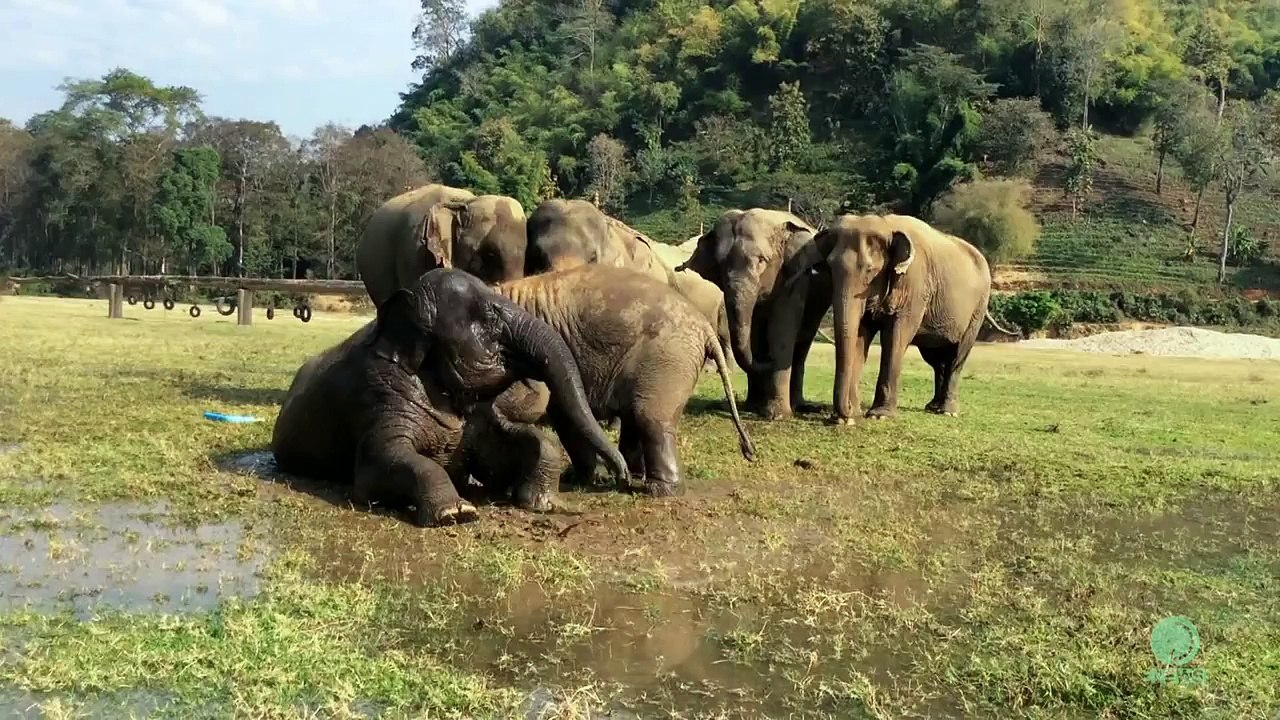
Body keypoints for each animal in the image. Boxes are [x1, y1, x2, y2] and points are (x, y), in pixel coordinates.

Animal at [270, 268, 628, 527]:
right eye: (490, 317)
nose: (621, 474)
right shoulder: (379, 395)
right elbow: (380, 463)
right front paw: (456, 513)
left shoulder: (479, 417)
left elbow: (519, 444)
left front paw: (546, 505)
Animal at [490, 265, 755, 497]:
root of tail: (705, 327)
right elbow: (563, 413)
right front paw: (589, 478)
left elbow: (536, 399)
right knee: (634, 415)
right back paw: (633, 475)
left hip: (667, 358)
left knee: (650, 418)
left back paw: (658, 490)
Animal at [679, 209, 834, 420]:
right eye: (720, 265)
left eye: (761, 260)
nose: (769, 360)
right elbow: (754, 336)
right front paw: (753, 408)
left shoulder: (796, 279)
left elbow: (780, 332)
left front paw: (776, 416)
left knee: (802, 345)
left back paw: (797, 406)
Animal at [784, 213, 1015, 423]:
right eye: (829, 268)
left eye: (870, 270)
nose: (844, 414)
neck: (886, 225)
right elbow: (860, 335)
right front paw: (852, 414)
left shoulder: (915, 287)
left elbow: (895, 337)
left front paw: (879, 416)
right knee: (935, 359)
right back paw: (932, 407)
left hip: (977, 309)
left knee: (956, 356)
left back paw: (947, 411)